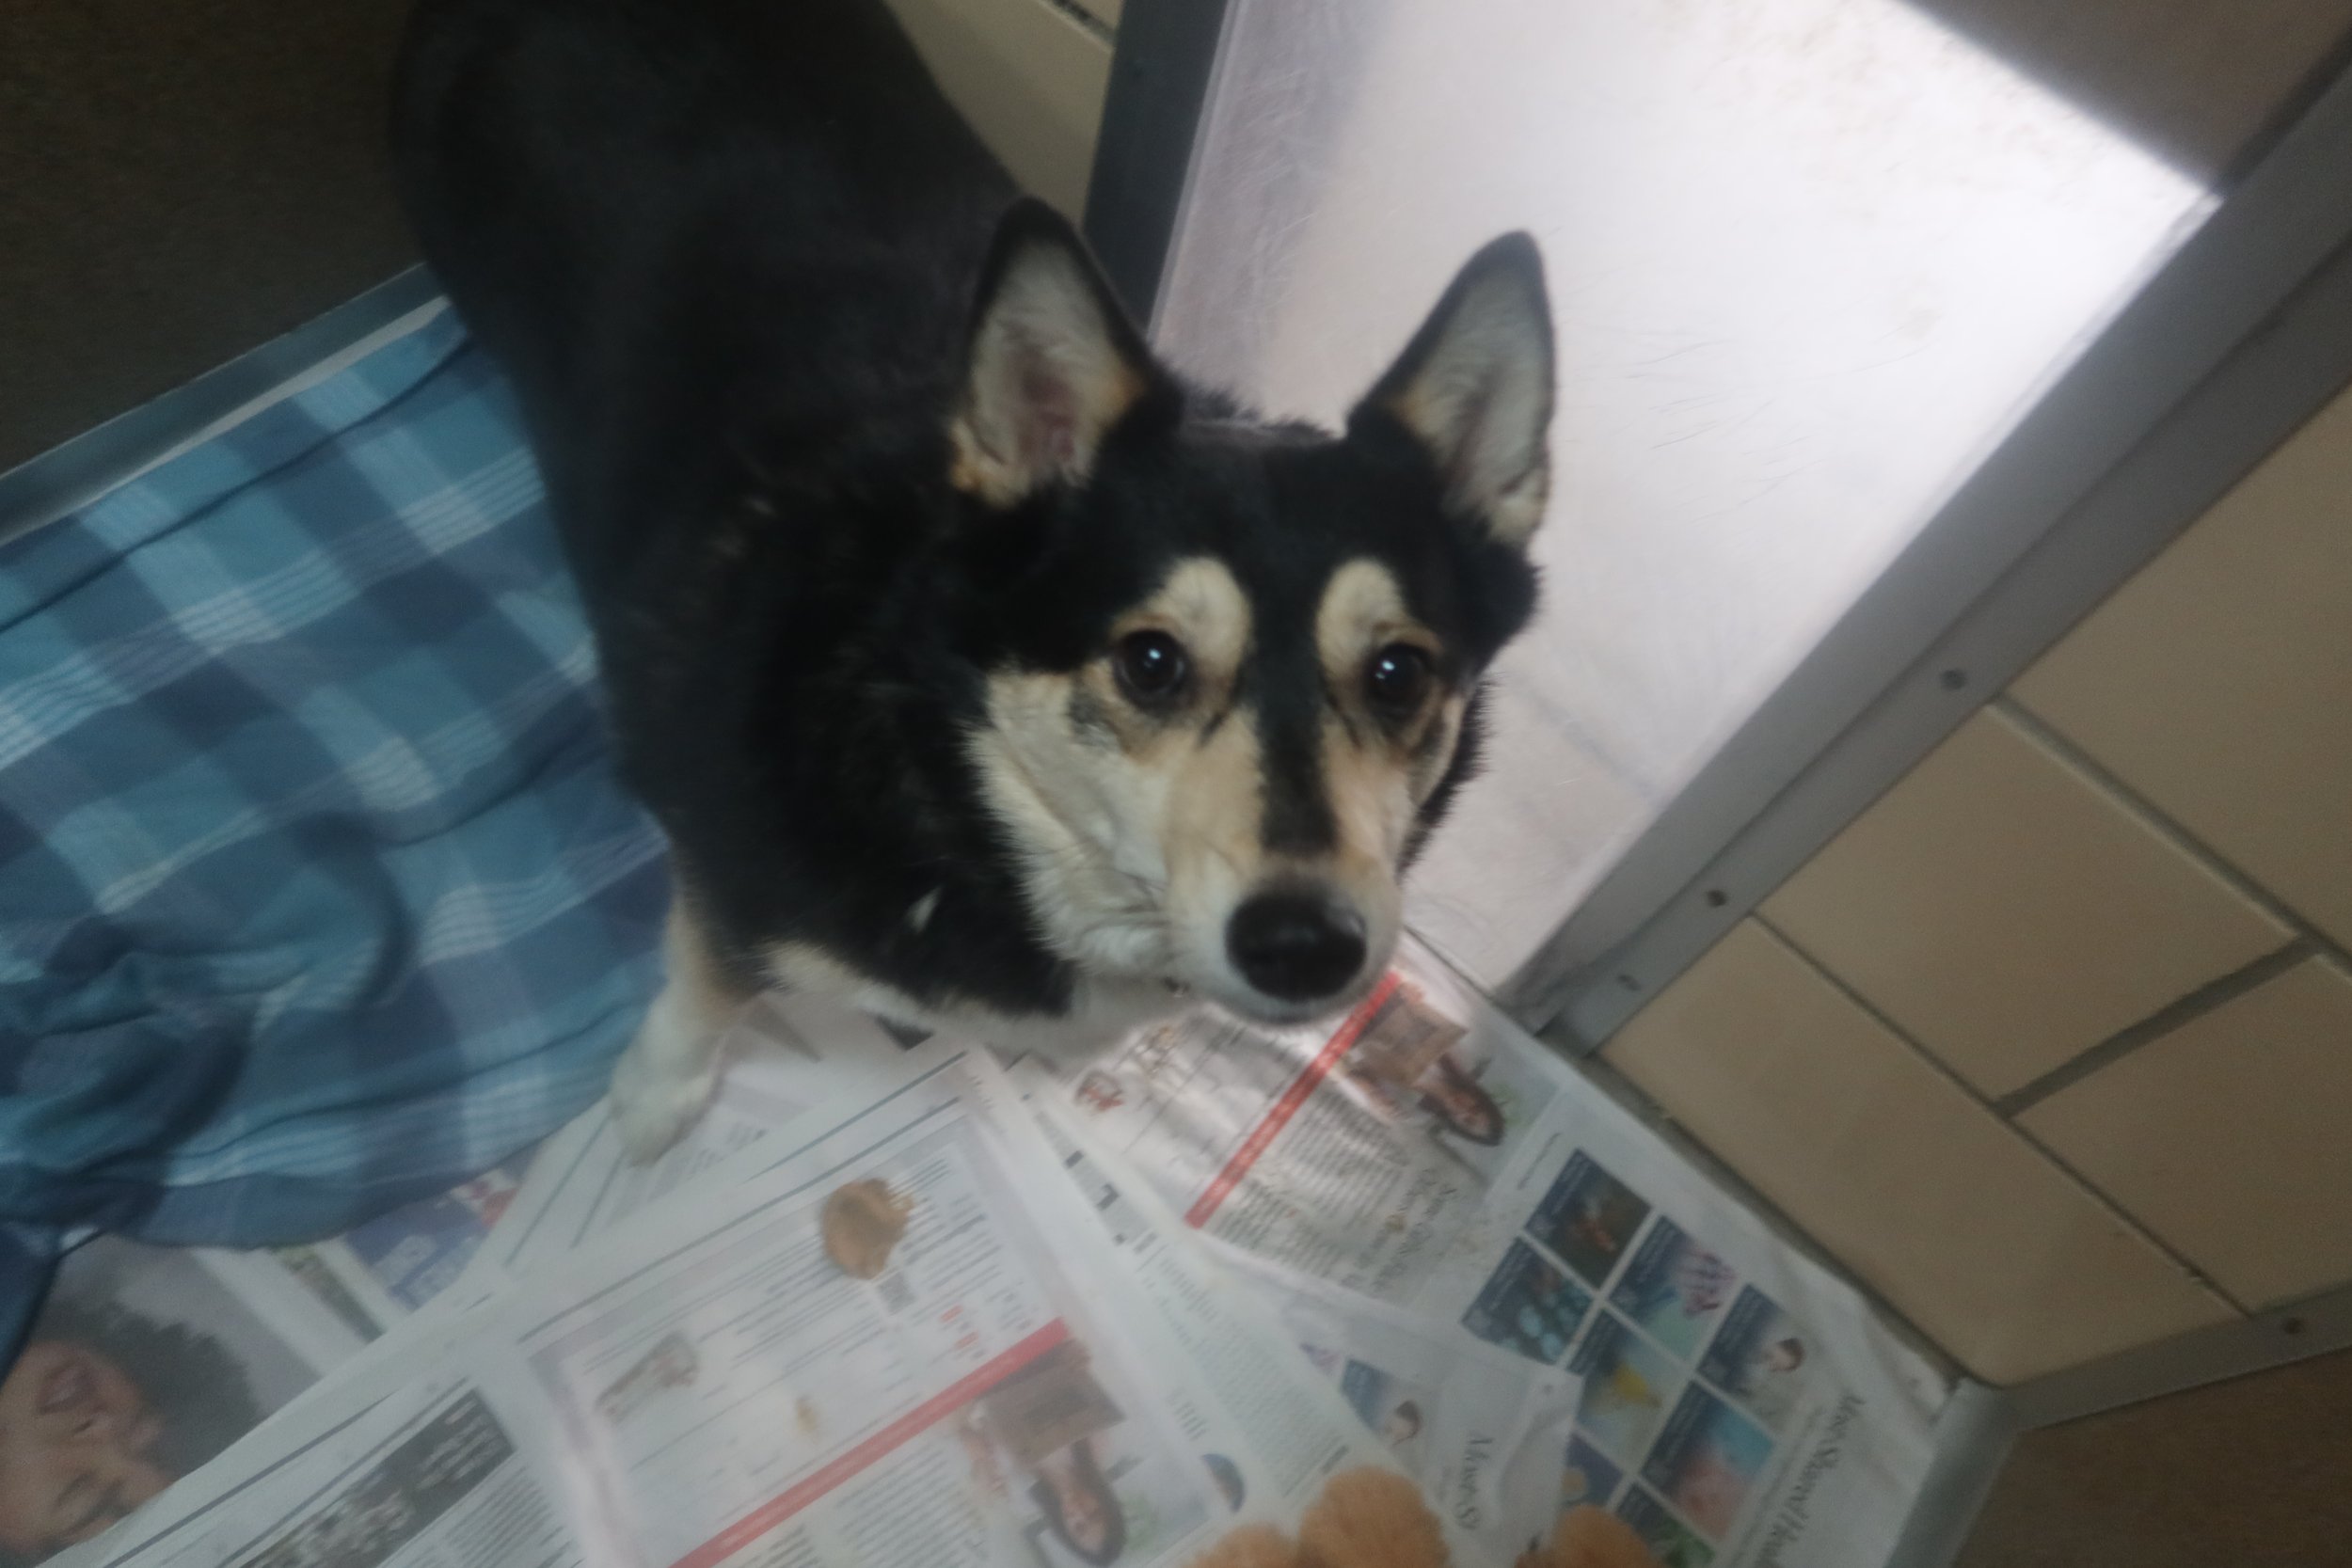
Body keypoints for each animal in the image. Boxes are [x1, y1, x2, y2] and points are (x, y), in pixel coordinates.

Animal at [391, 0, 1554, 1157]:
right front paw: (652, 1098)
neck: (958, 782)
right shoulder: (728, 878)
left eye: (1400, 673)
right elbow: (707, 984)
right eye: (1150, 662)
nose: (1306, 945)